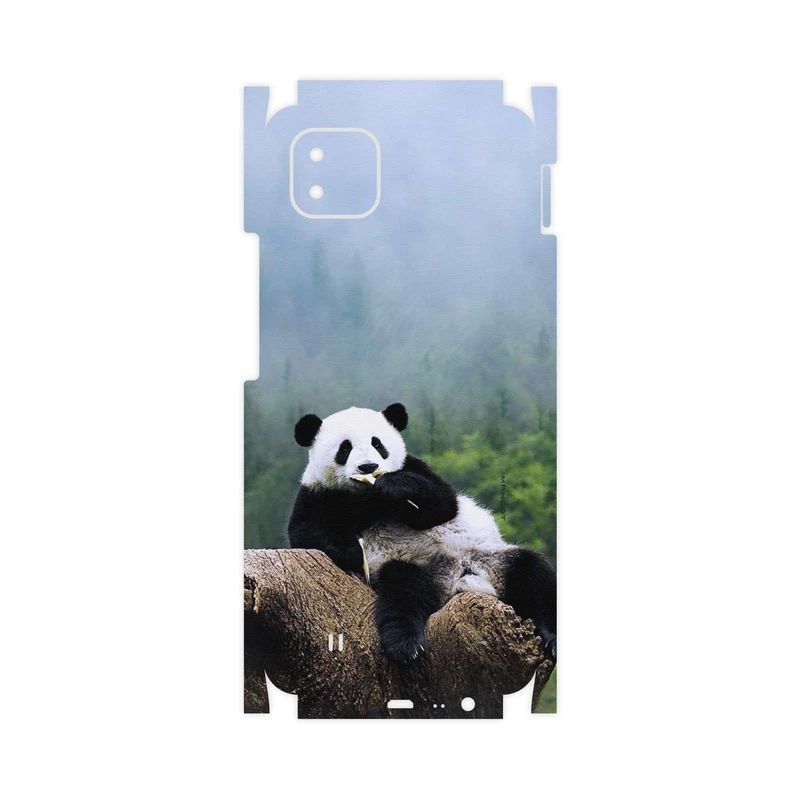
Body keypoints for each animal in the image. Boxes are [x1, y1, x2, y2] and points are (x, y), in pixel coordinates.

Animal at [288, 403, 556, 663]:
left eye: (378, 444)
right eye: (345, 448)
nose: (368, 467)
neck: (367, 496)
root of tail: (458, 579)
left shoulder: (415, 467)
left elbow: (442, 504)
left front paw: (394, 486)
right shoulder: (319, 493)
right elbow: (305, 531)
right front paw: (354, 551)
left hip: (491, 558)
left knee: (534, 574)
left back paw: (551, 637)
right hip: (413, 567)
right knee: (403, 592)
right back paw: (406, 645)